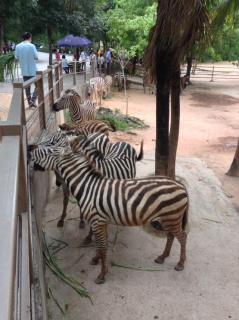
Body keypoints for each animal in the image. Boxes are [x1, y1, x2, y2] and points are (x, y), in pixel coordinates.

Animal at [30, 146, 190, 284]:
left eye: (48, 151)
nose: (29, 149)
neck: (87, 187)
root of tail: (180, 185)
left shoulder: (97, 221)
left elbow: (102, 246)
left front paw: (102, 275)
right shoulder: (102, 222)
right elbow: (101, 245)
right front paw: (96, 259)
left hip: (171, 217)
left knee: (182, 237)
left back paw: (180, 264)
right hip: (168, 218)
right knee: (171, 236)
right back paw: (162, 257)